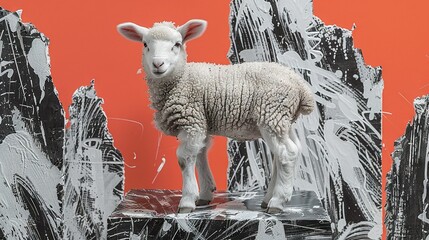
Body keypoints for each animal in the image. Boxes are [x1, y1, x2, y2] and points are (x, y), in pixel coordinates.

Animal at [117, 19, 314, 214]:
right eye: (145, 44)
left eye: (177, 44)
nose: (158, 64)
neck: (181, 78)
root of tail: (301, 87)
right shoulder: (201, 122)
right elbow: (200, 155)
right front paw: (205, 194)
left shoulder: (191, 120)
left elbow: (184, 158)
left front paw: (187, 201)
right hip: (283, 120)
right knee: (287, 152)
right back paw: (268, 199)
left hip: (272, 114)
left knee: (287, 153)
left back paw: (278, 201)